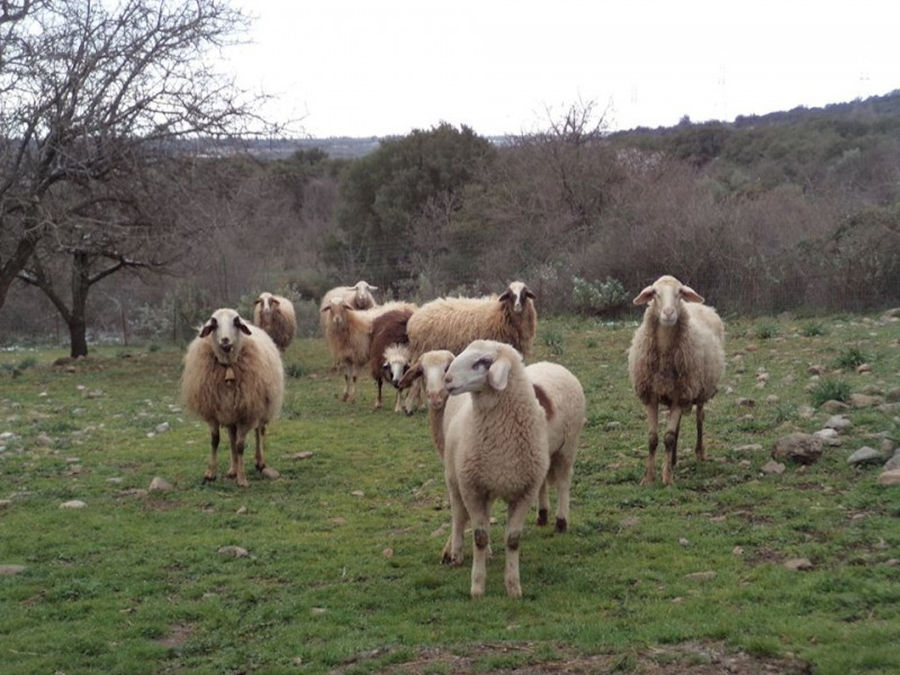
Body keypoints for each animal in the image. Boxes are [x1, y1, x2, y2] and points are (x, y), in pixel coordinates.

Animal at [181, 308, 284, 488]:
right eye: (214, 323)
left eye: (236, 322)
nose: (225, 340)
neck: (228, 365)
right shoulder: (215, 413)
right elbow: (215, 441)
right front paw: (211, 473)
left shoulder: (246, 413)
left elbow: (241, 445)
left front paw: (242, 479)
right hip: (230, 413)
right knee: (231, 438)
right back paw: (233, 469)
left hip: (261, 407)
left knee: (259, 432)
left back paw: (260, 463)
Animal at [404, 278, 536, 414]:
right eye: (510, 294)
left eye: (524, 294)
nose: (517, 306)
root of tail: (415, 318)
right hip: (421, 351)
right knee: (416, 381)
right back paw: (409, 407)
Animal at [442, 340, 548, 600]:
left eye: (484, 362)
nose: (447, 379)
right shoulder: (472, 488)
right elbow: (479, 537)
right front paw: (478, 587)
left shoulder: (525, 491)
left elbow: (512, 540)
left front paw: (513, 587)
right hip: (454, 478)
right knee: (458, 516)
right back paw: (456, 552)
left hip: (487, 487)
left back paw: (488, 553)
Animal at [628, 274, 728, 486]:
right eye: (654, 293)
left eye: (680, 292)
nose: (668, 313)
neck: (665, 354)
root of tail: (701, 306)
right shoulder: (652, 396)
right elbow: (653, 438)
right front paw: (648, 477)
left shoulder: (681, 395)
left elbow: (668, 437)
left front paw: (667, 478)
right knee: (679, 425)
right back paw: (673, 459)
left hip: (697, 391)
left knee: (699, 419)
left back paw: (699, 452)